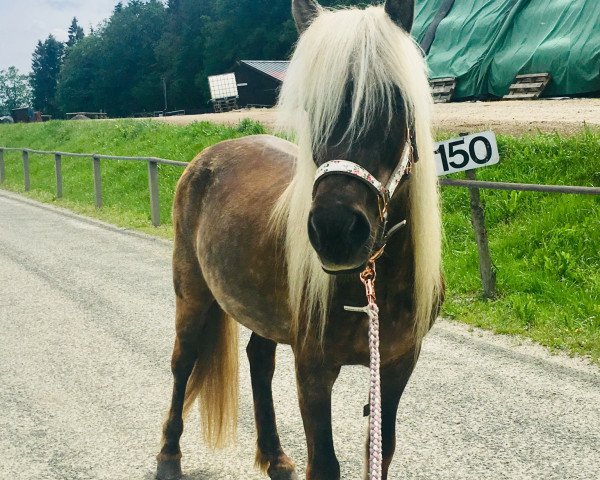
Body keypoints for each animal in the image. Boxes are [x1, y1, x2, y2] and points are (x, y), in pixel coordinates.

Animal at [157, 1, 442, 478]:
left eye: (395, 102)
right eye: (312, 109)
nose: (335, 231)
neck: (371, 285)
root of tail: (208, 156)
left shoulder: (397, 366)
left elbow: (380, 450)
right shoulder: (313, 369)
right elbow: (324, 463)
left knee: (259, 361)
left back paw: (274, 457)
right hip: (192, 293)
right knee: (183, 363)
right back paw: (168, 456)